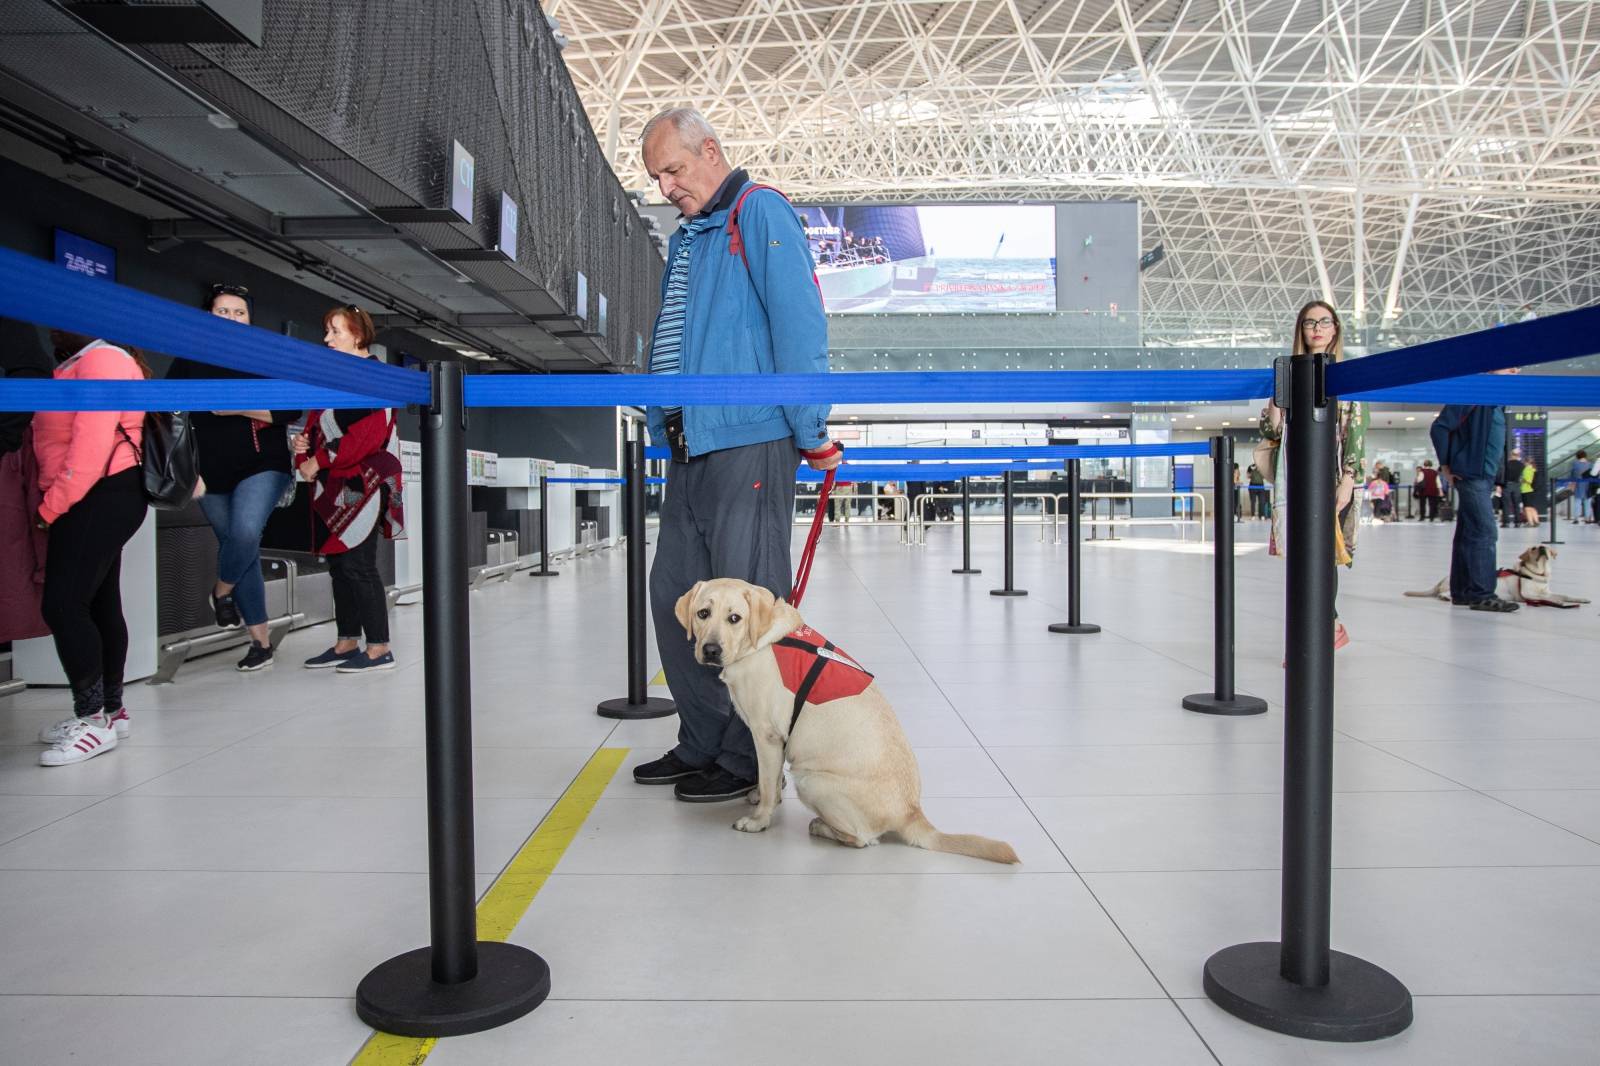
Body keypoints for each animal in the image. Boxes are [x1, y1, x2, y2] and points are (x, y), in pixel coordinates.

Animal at [672, 576, 1017, 857]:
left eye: (735, 618)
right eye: (703, 614)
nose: (711, 650)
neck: (760, 642)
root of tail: (911, 812)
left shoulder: (766, 735)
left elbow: (769, 783)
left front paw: (759, 821)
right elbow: (767, 779)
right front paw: (759, 796)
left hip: (811, 780)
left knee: (863, 840)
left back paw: (823, 827)